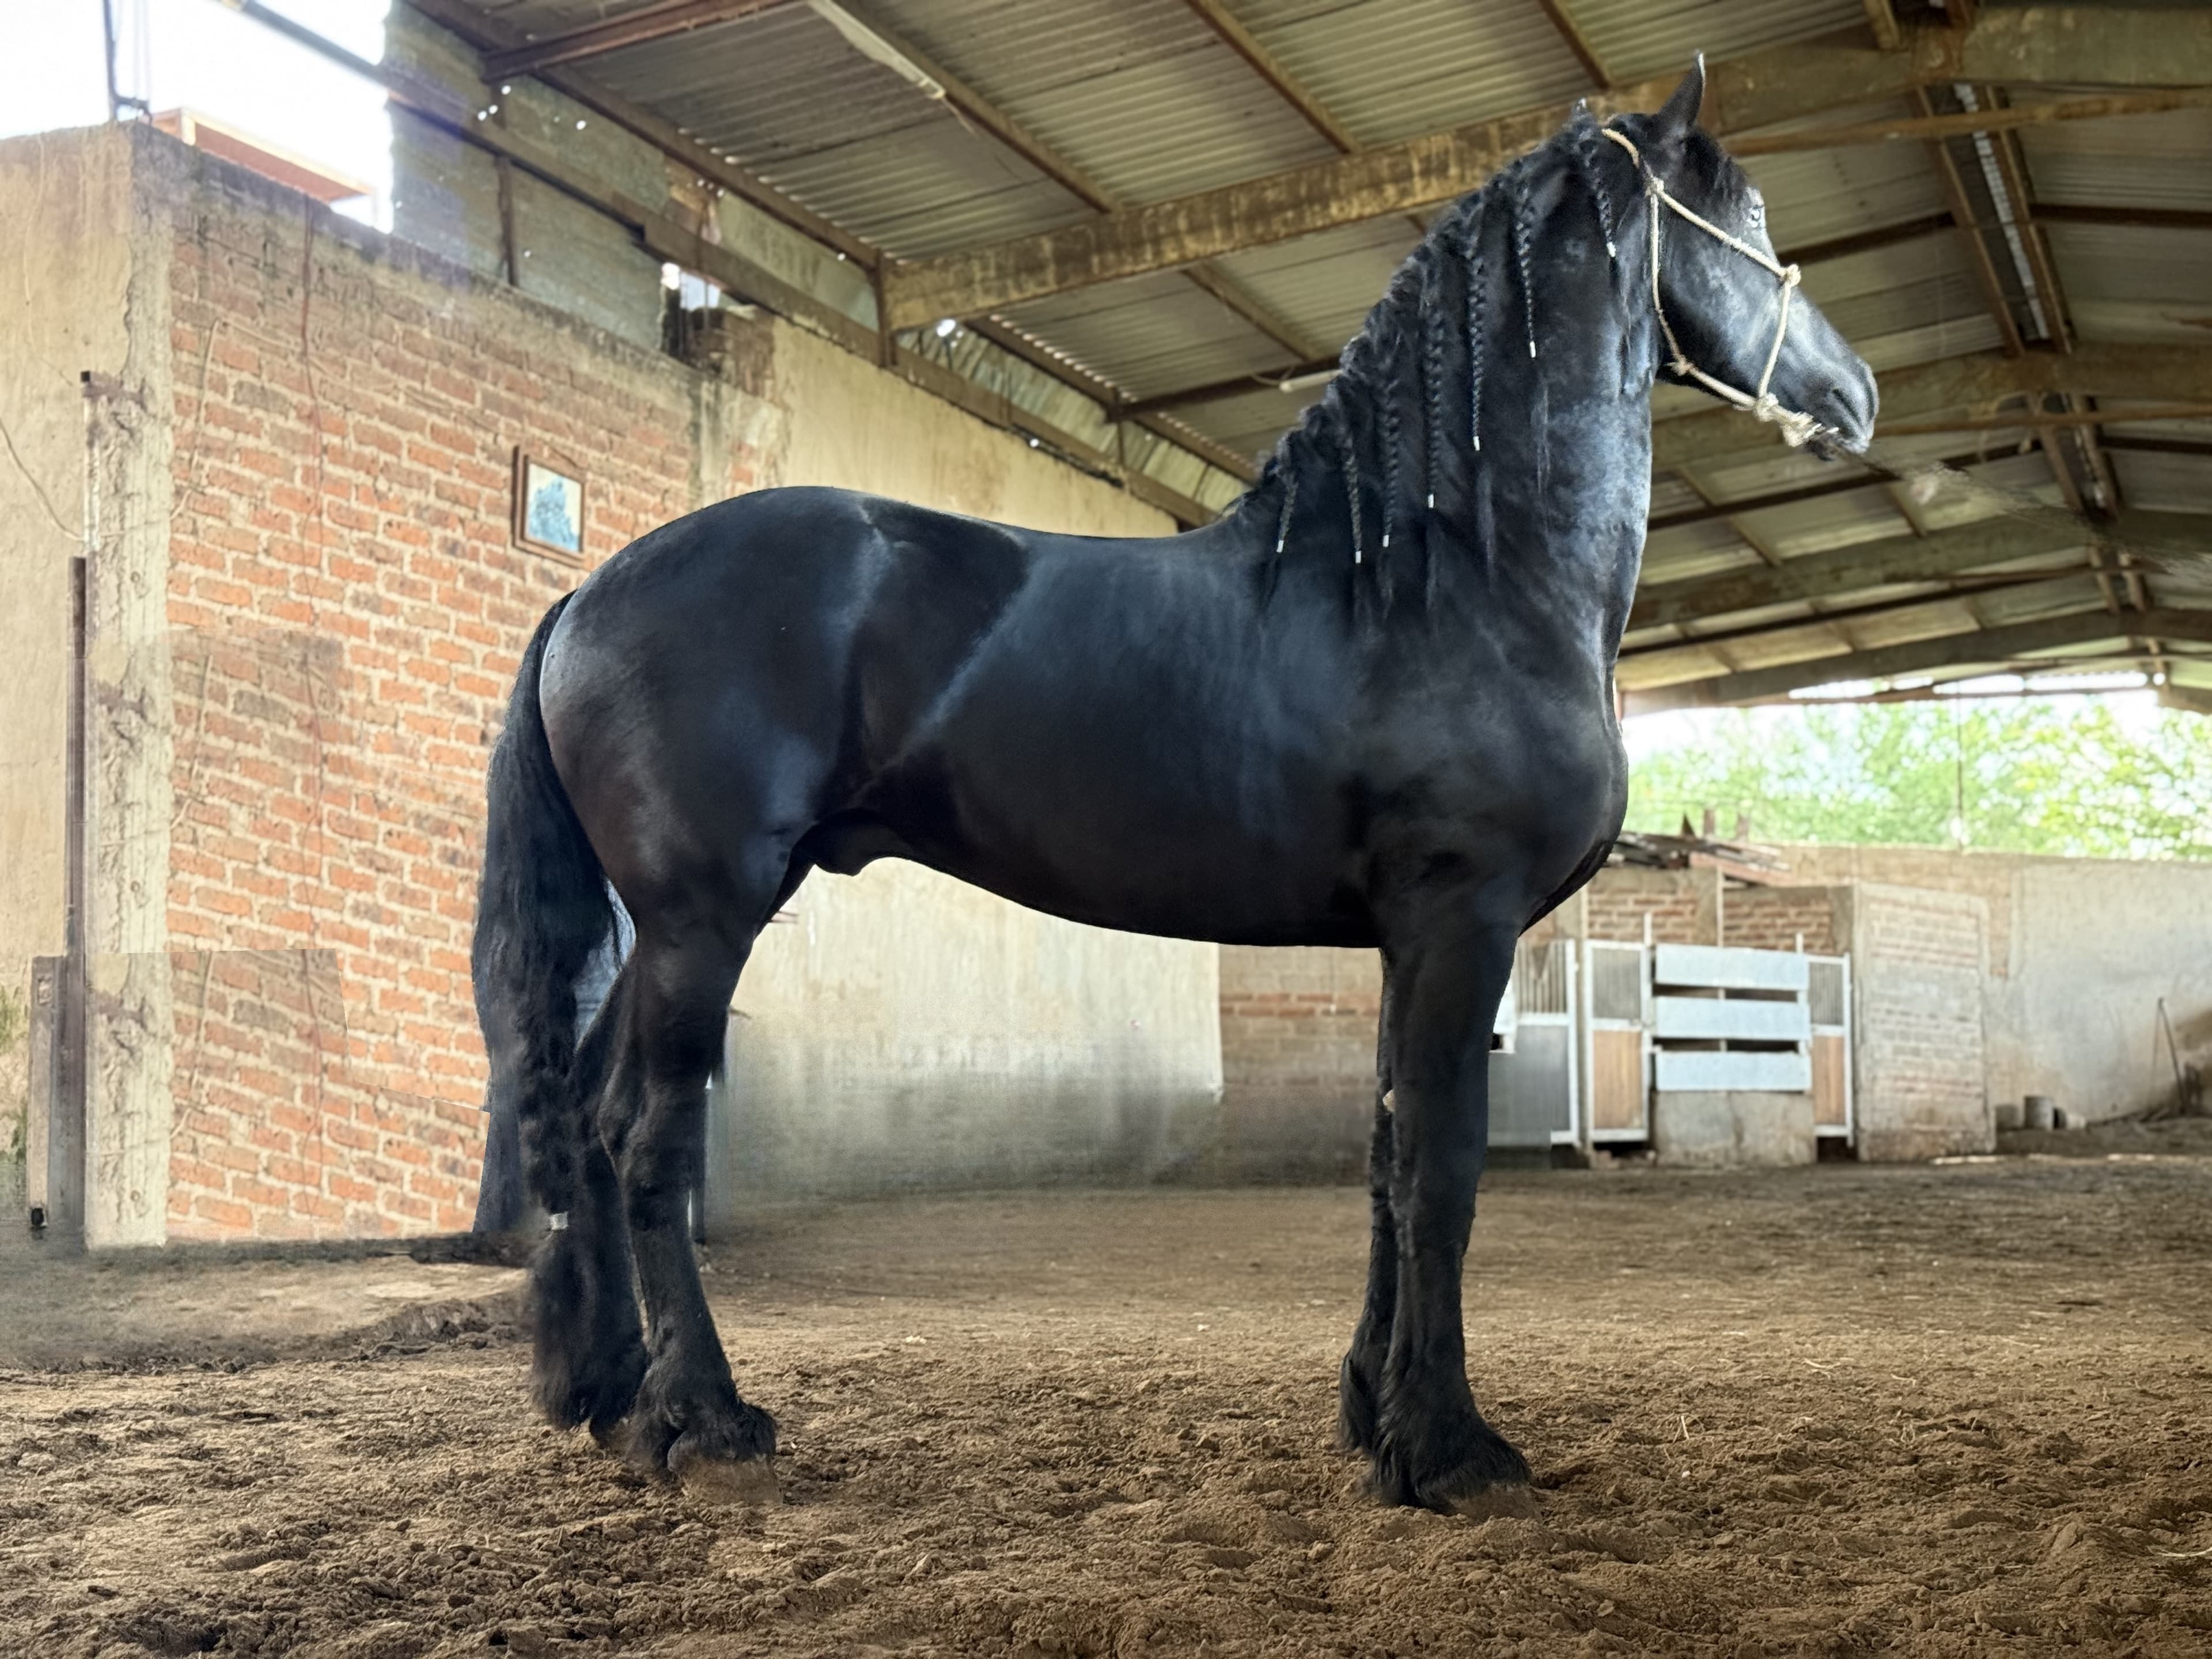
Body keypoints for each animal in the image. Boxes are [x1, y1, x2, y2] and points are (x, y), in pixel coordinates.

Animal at [469, 60, 1876, 1513]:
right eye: (1747, 225)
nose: (1855, 392)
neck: (1452, 582)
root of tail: (589, 590)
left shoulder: (1404, 936)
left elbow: (1386, 1160)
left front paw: (1374, 1417)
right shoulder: (1462, 918)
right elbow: (1443, 1171)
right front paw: (1450, 1448)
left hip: (659, 928)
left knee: (586, 1118)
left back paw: (612, 1399)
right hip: (704, 918)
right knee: (648, 1137)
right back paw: (704, 1421)